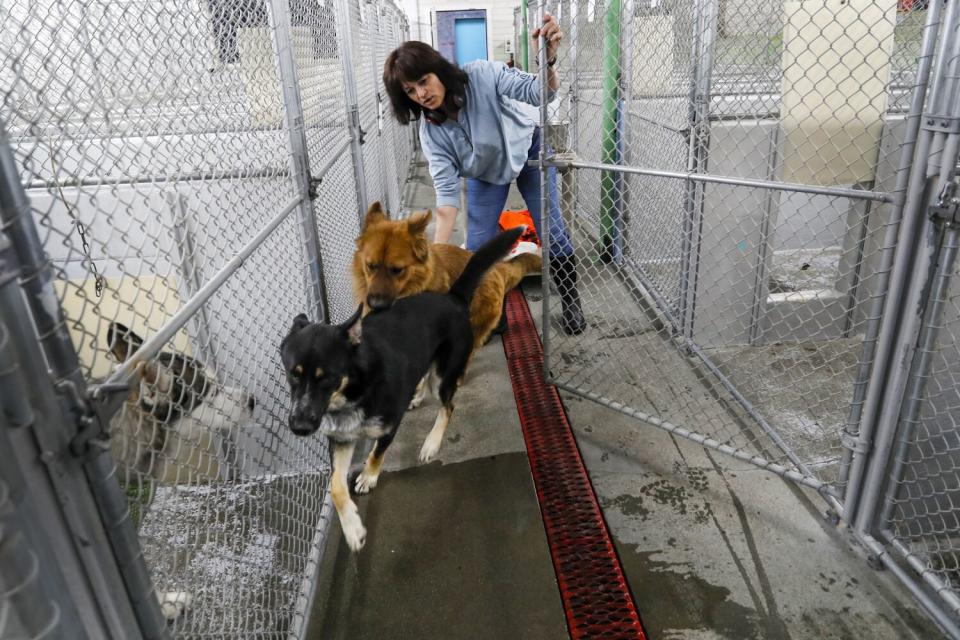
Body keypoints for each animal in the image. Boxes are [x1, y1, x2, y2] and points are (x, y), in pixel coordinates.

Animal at [280, 226, 524, 552]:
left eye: (327, 377)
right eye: (292, 374)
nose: (299, 427)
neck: (356, 387)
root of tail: (453, 298)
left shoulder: (388, 427)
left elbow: (376, 454)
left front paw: (368, 477)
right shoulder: (341, 440)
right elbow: (335, 488)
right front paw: (353, 529)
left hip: (445, 375)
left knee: (448, 406)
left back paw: (431, 443)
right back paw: (417, 396)